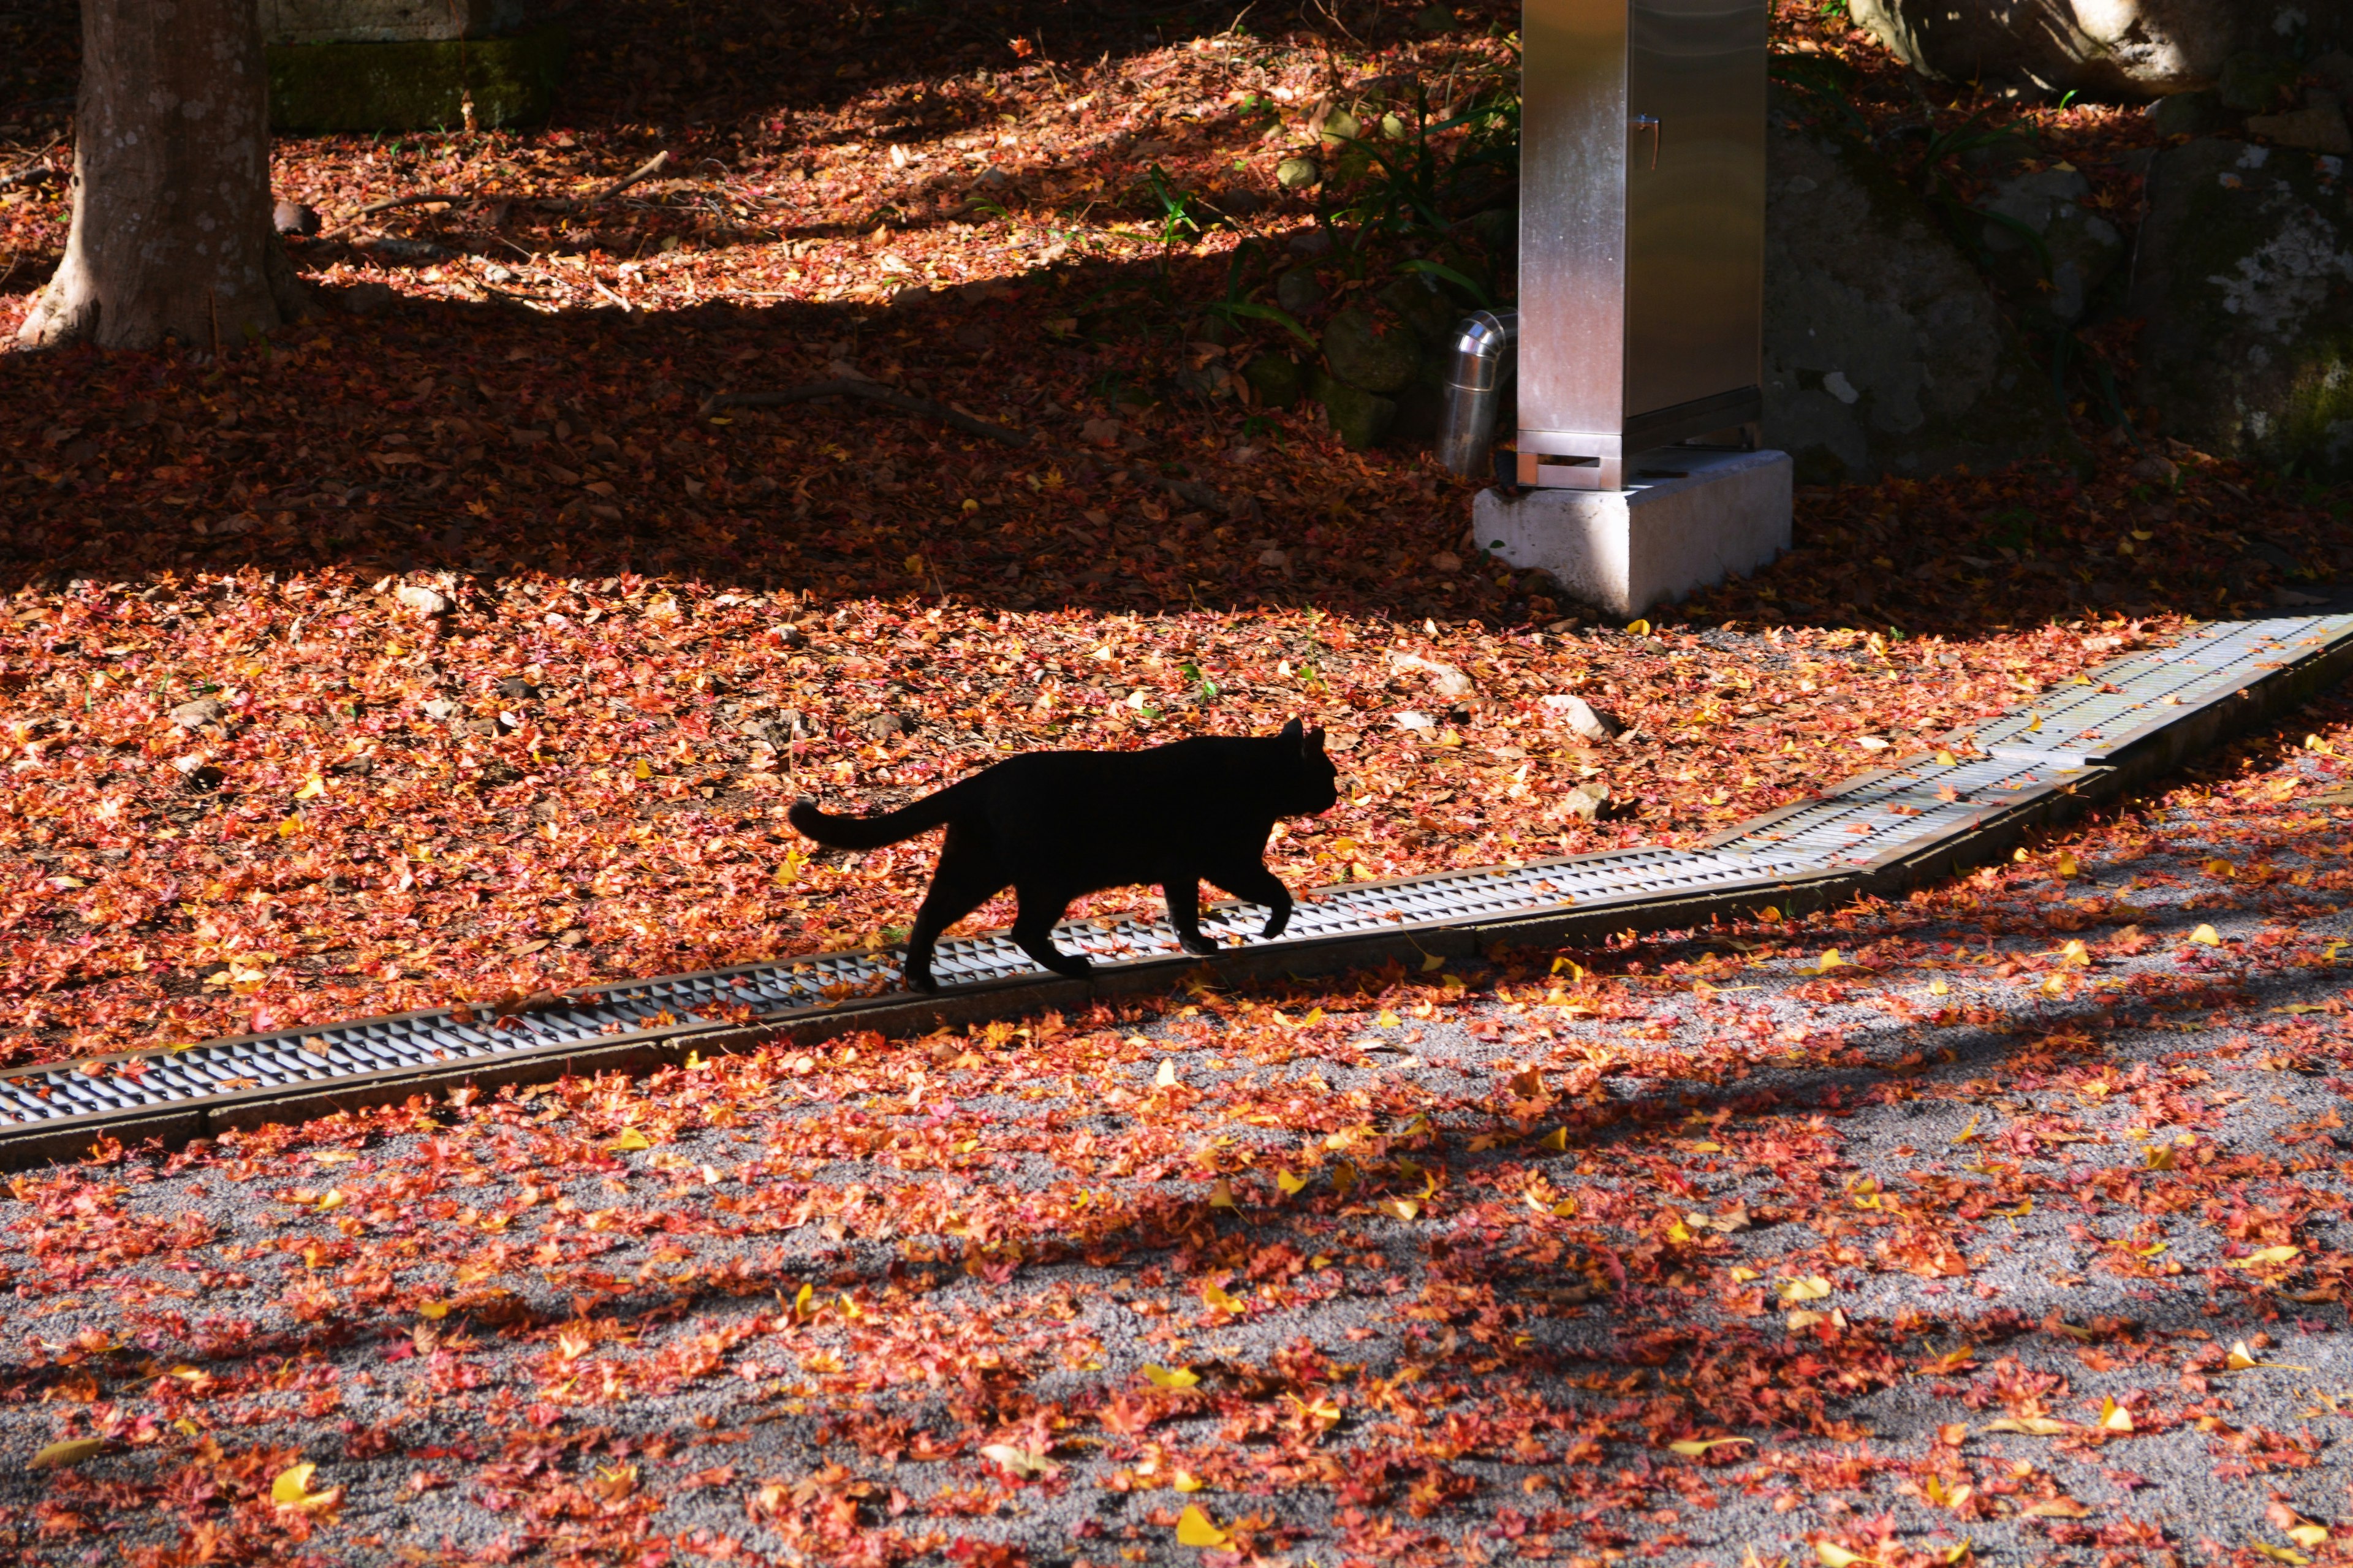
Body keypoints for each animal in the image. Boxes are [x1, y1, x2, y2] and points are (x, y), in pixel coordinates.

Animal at [790, 720, 1346, 988]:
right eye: (1330, 773)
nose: (1338, 794)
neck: (1261, 776)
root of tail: (982, 780)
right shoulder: (1229, 860)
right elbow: (1278, 890)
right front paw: (1272, 929)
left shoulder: (1182, 870)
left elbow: (1183, 912)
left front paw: (1197, 946)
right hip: (1047, 881)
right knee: (1022, 930)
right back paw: (1074, 967)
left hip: (973, 869)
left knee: (930, 913)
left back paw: (921, 979)